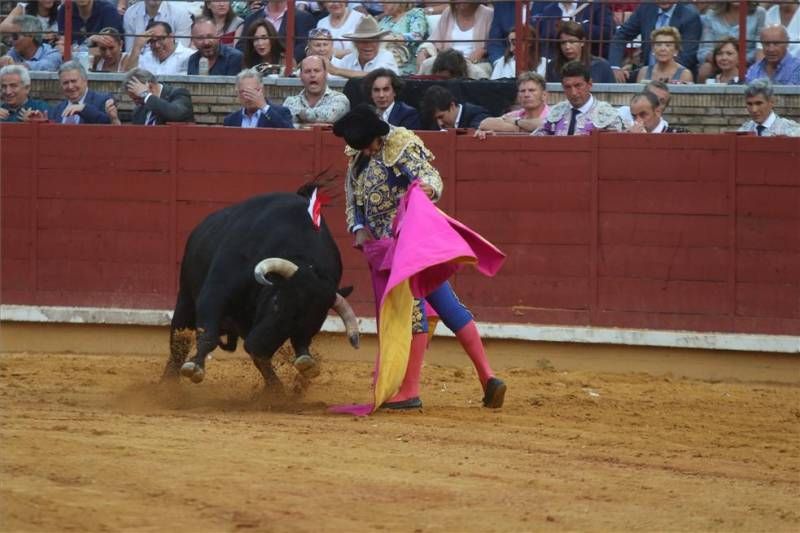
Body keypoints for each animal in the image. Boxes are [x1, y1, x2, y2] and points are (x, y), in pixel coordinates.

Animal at [162, 185, 360, 388]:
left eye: (310, 322)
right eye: (275, 302)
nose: (258, 347)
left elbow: (294, 349)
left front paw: (298, 370)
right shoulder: (215, 293)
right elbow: (208, 334)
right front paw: (195, 368)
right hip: (185, 301)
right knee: (178, 341)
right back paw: (168, 383)